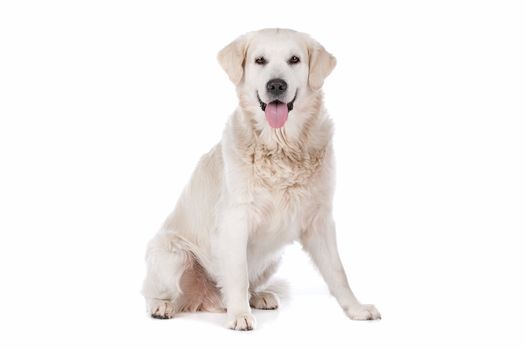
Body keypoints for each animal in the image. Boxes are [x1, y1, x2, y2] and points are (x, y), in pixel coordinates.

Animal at [142, 28, 380, 330]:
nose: (276, 85)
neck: (281, 146)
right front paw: (240, 315)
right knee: (157, 291)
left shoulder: (320, 219)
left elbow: (338, 272)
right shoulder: (235, 219)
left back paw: (259, 297)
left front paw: (356, 309)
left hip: (272, 259)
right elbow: (237, 273)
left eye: (294, 59)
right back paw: (163, 306)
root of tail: (207, 299)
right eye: (259, 60)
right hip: (171, 253)